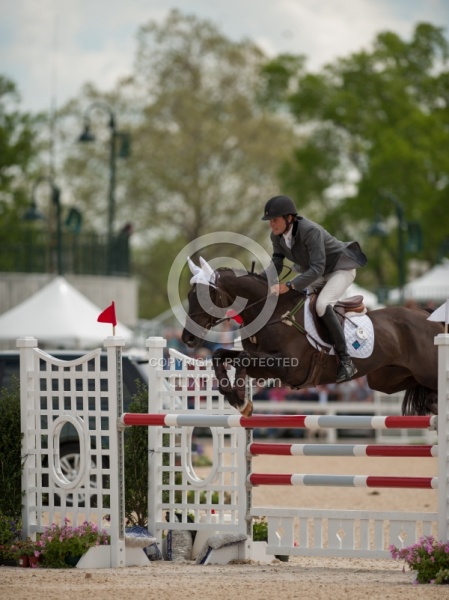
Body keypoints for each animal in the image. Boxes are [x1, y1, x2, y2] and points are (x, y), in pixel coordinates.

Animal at [180, 260, 442, 420]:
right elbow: (220, 355)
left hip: (426, 371)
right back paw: (433, 404)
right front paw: (236, 398)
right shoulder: (264, 368)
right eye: (188, 294)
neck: (272, 314)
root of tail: (427, 315)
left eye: (204, 296)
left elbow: (242, 358)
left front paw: (240, 399)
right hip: (386, 379)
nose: (187, 338)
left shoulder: (288, 367)